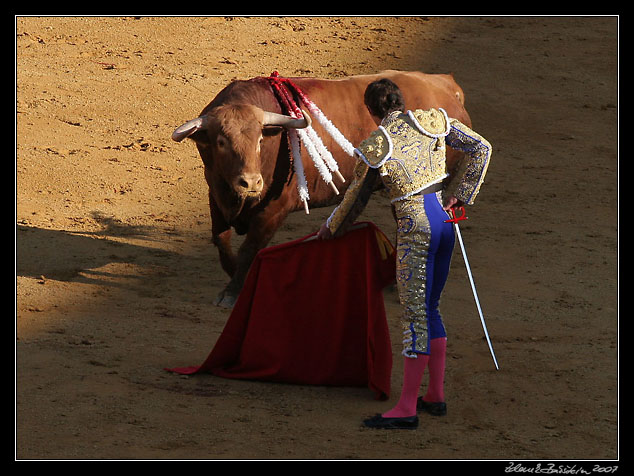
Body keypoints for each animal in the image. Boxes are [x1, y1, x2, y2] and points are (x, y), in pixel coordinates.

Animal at [172, 70, 470, 308]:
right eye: (221, 141)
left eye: (258, 140)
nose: (251, 183)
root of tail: (446, 84)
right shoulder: (215, 194)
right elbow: (221, 240)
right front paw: (234, 276)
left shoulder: (274, 210)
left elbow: (249, 248)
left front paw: (233, 291)